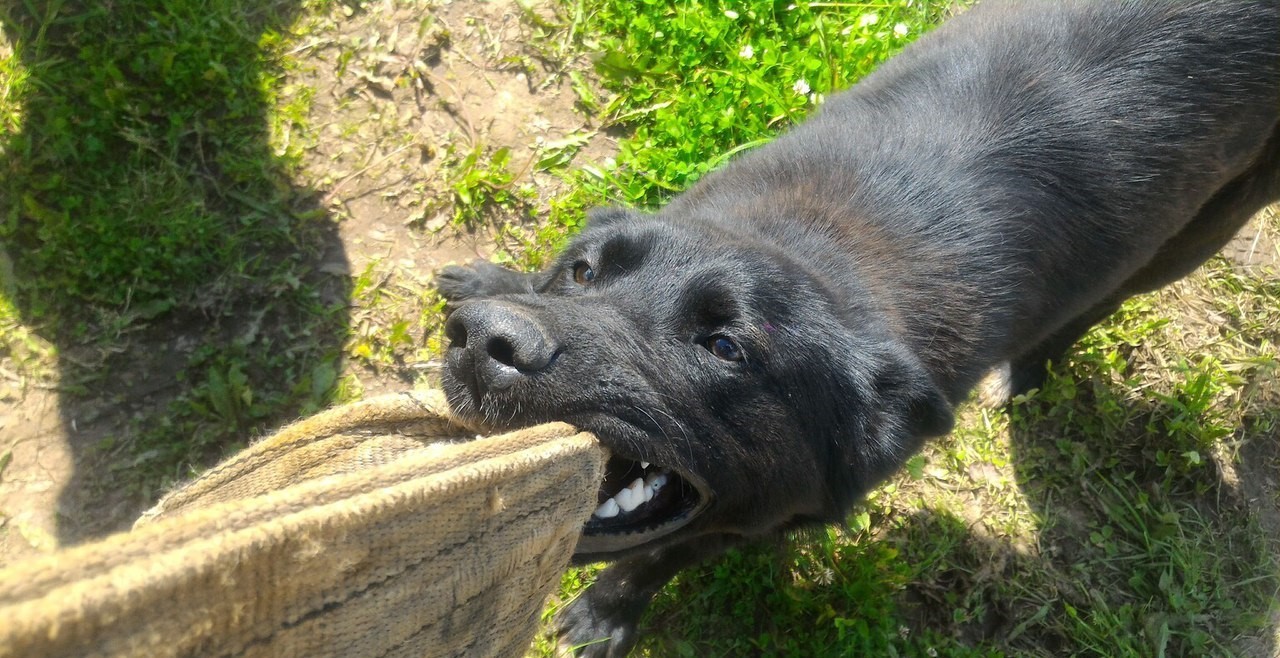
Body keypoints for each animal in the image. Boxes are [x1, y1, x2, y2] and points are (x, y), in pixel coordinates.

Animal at [432, 2, 1280, 652]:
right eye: (583, 272)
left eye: (725, 347)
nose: (485, 341)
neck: (803, 245)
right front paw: (493, 279)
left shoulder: (768, 512)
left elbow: (658, 558)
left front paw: (607, 614)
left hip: (1196, 232)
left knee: (1103, 298)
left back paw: (1028, 371)